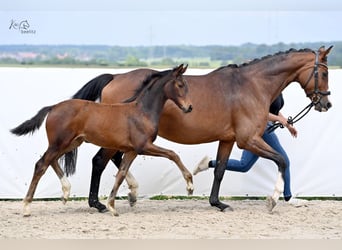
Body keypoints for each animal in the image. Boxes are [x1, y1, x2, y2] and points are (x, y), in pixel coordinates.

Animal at [10, 65, 192, 217]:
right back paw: (26, 207)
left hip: (70, 143)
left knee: (51, 161)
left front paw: (112, 206)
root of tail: (53, 107)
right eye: (180, 85)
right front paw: (190, 185)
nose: (189, 107)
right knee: (41, 164)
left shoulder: (132, 151)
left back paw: (66, 192)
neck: (142, 112)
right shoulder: (143, 146)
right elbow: (173, 154)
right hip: (60, 143)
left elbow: (121, 174)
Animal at [73, 46, 332, 212]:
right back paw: (101, 203)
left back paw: (123, 196)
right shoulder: (248, 140)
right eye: (325, 72)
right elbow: (281, 160)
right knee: (100, 161)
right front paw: (274, 200)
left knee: (111, 160)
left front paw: (217, 203)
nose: (326, 103)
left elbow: (220, 169)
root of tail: (113, 77)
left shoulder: (228, 139)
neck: (252, 85)